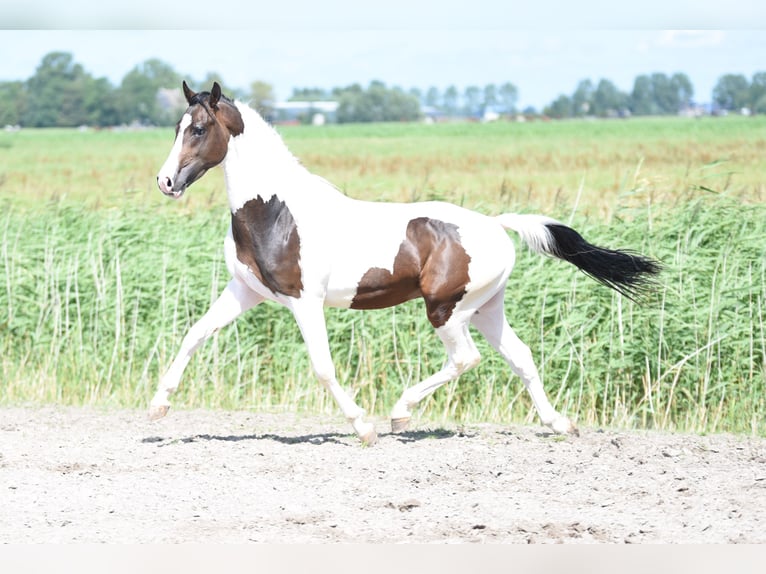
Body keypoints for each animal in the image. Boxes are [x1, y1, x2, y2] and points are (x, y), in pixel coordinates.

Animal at [150, 83, 660, 448]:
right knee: (521, 357)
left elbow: (323, 367)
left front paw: (363, 427)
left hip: (446, 308)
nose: (166, 181)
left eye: (198, 130)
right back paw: (560, 424)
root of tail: (496, 225)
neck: (276, 211)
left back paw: (399, 412)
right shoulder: (245, 291)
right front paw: (157, 407)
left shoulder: (305, 301)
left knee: (466, 358)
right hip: (486, 308)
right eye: (176, 126)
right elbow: (194, 335)